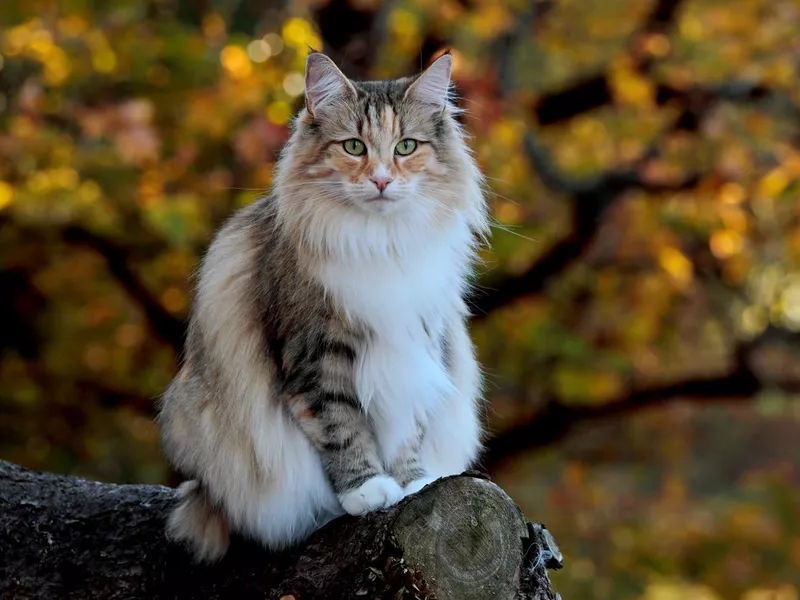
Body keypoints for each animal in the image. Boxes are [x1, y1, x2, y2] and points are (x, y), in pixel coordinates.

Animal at [158, 51, 488, 564]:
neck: (381, 242)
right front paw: (368, 489)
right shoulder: (316, 353)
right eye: (353, 147)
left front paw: (412, 483)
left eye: (406, 147)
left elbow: (407, 428)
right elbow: (342, 425)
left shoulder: (417, 344)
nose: (381, 179)